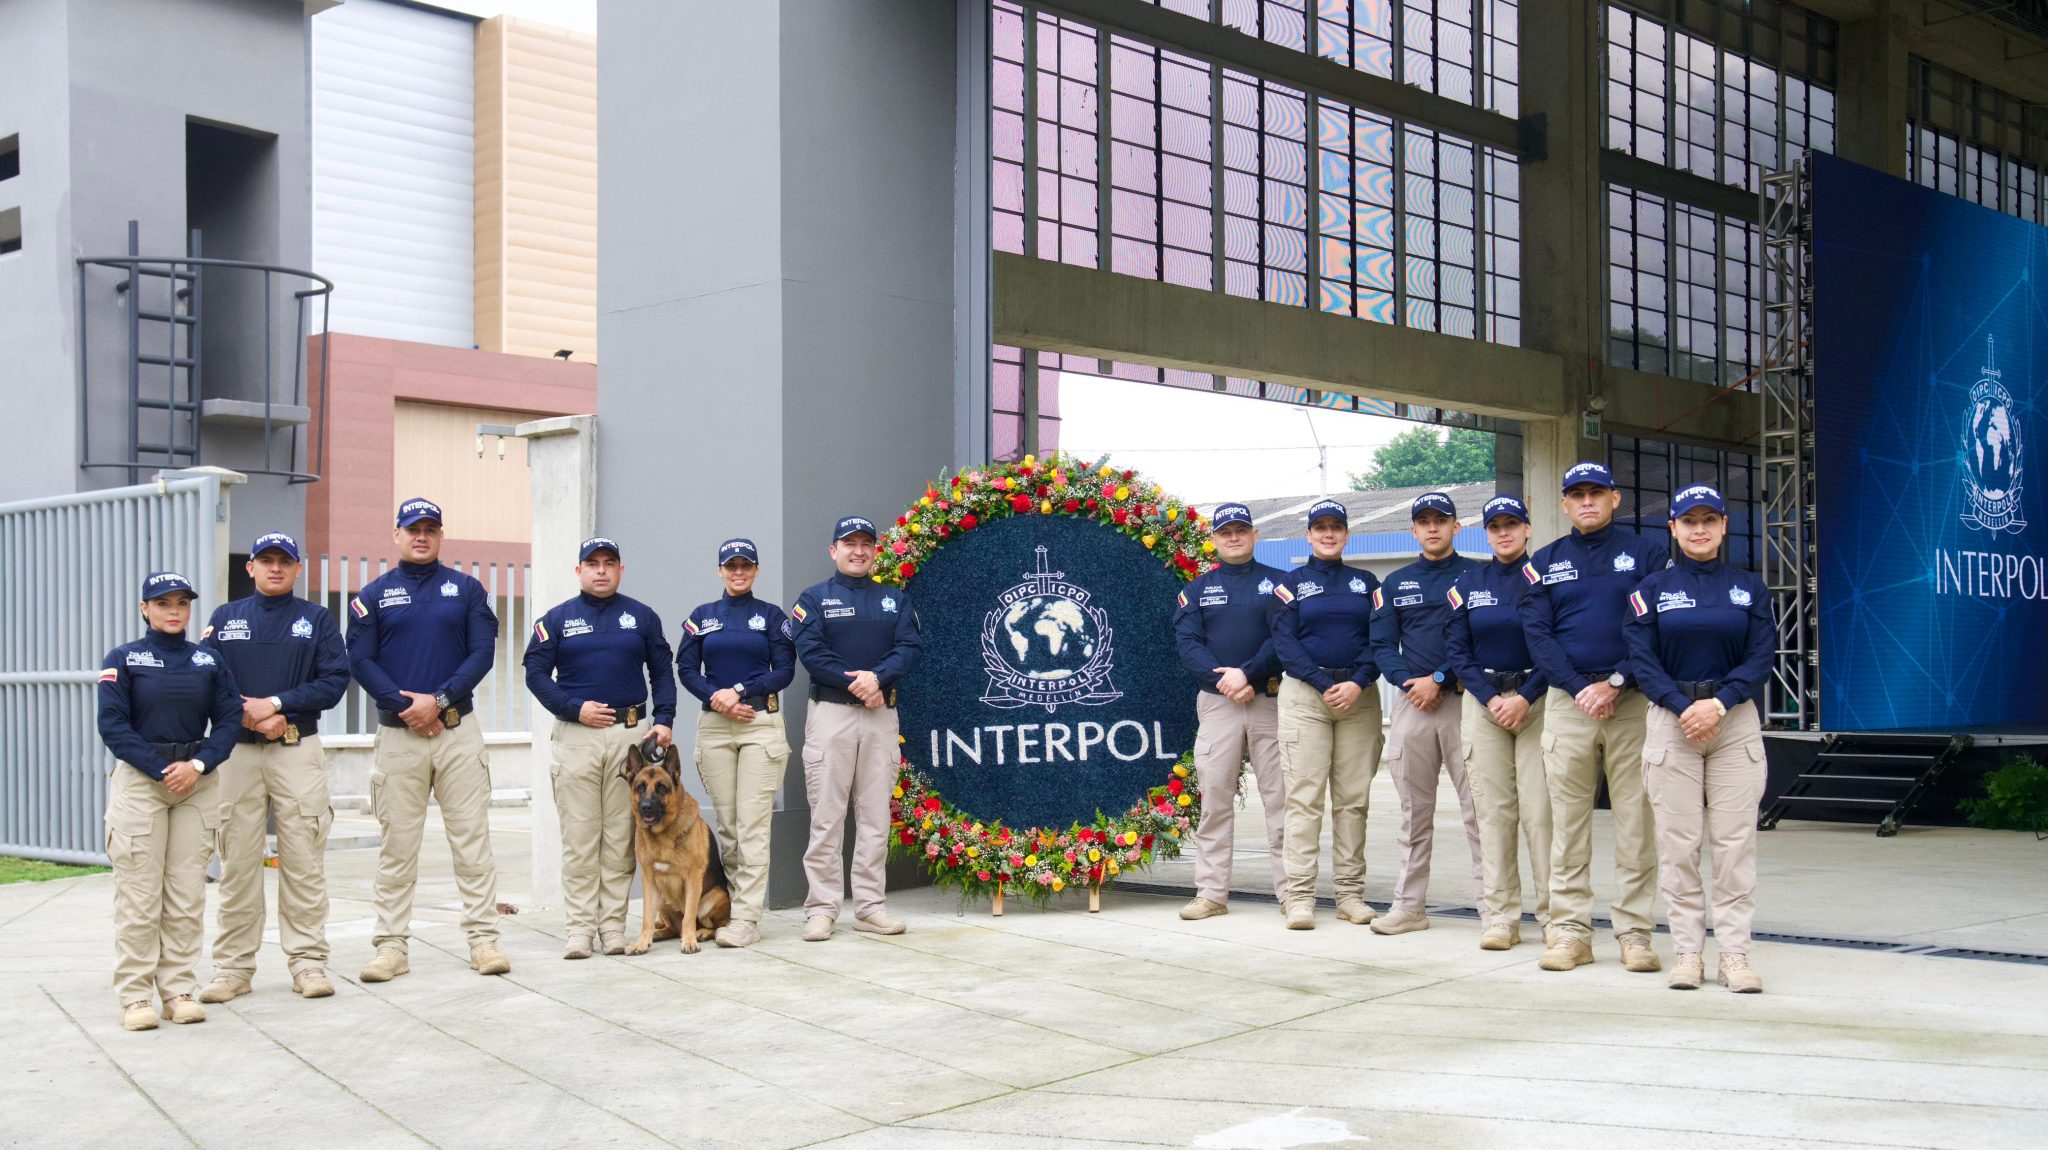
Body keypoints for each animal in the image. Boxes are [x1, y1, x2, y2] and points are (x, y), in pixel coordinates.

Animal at [618, 732, 733, 949]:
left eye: (662, 788)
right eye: (640, 787)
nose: (646, 807)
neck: (662, 835)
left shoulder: (693, 879)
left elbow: (689, 915)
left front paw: (690, 941)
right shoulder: (649, 881)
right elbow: (647, 916)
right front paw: (642, 942)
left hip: (714, 898)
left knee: (714, 925)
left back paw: (701, 933)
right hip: (663, 900)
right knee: (671, 928)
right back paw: (657, 934)